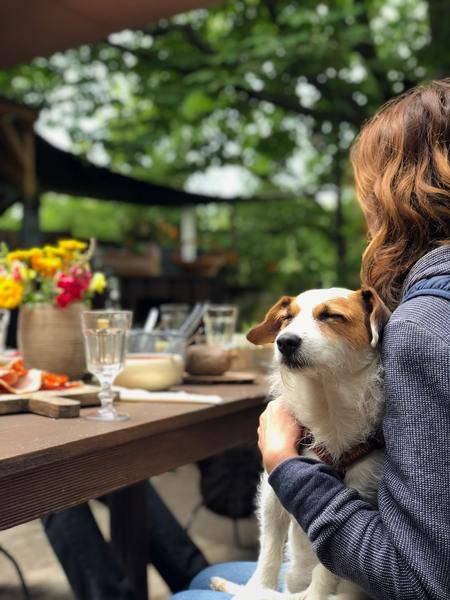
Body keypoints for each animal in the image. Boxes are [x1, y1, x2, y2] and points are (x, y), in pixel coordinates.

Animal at [211, 288, 390, 596]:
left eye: (331, 315)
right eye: (286, 318)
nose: (285, 341)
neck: (326, 404)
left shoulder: (359, 492)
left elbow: (327, 570)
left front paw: (315, 592)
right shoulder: (273, 492)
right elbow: (269, 551)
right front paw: (258, 587)